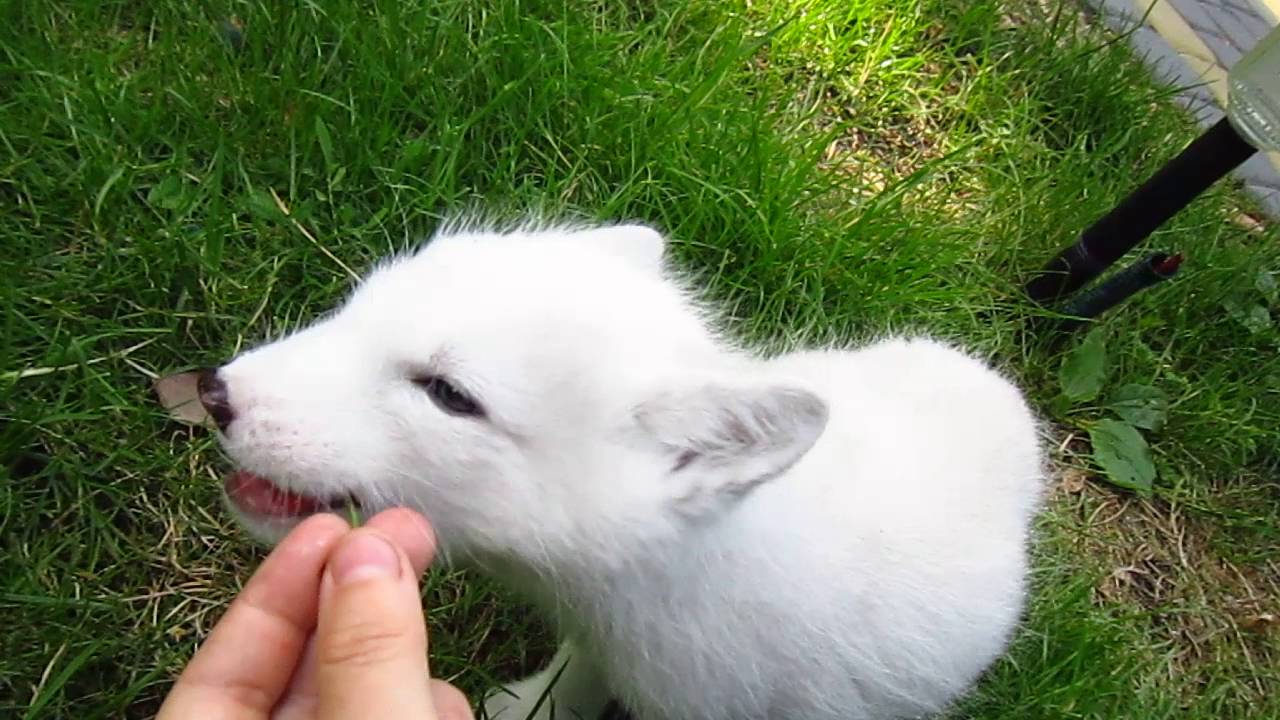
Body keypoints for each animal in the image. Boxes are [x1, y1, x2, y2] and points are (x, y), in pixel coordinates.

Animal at [197, 220, 1039, 717]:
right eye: (357, 310)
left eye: (448, 395)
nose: (213, 393)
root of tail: (1006, 400)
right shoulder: (599, 645)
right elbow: (571, 681)